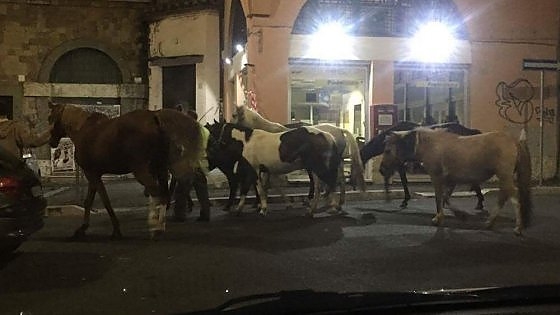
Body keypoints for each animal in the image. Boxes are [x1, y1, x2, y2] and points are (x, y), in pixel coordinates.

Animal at [47, 103, 202, 239]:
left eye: (50, 117)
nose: (51, 142)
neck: (83, 130)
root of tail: (154, 118)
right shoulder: (93, 174)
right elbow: (88, 201)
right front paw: (82, 228)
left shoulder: (92, 174)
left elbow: (105, 201)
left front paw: (115, 229)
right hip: (160, 169)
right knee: (163, 195)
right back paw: (160, 225)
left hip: (141, 170)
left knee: (156, 192)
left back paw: (155, 228)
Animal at [206, 122, 336, 216]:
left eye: (211, 132)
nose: (209, 151)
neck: (246, 141)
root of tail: (328, 136)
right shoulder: (265, 171)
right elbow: (265, 188)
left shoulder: (254, 170)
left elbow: (256, 189)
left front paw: (261, 209)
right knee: (321, 187)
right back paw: (314, 209)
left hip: (317, 168)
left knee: (327, 184)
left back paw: (331, 208)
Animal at [230, 105, 366, 206]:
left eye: (234, 115)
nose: (228, 124)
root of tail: (339, 130)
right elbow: (267, 183)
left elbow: (268, 183)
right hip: (337, 162)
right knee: (339, 178)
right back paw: (335, 199)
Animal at [380, 128, 532, 235]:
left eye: (387, 150)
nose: (381, 169)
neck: (431, 145)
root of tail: (514, 141)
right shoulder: (451, 181)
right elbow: (446, 198)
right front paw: (460, 215)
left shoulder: (437, 178)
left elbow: (439, 198)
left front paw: (438, 218)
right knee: (504, 196)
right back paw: (491, 222)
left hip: (504, 175)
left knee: (513, 197)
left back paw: (515, 227)